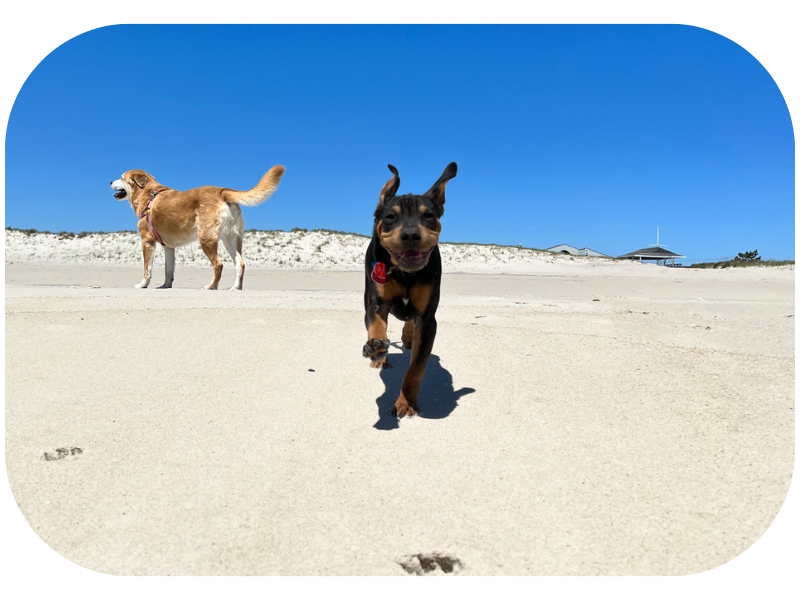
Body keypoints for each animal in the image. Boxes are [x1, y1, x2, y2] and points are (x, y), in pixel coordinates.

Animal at [109, 166, 284, 290]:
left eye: (121, 177)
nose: (110, 182)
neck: (148, 193)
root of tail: (222, 191)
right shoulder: (169, 248)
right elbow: (168, 270)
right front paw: (166, 286)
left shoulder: (147, 241)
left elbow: (147, 269)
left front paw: (143, 285)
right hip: (231, 240)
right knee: (240, 264)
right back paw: (235, 288)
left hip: (206, 238)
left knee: (218, 264)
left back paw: (211, 286)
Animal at [362, 162, 456, 420]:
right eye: (390, 216)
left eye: (429, 216)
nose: (412, 235)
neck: (405, 273)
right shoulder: (377, 303)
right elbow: (376, 323)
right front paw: (376, 347)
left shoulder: (428, 318)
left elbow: (417, 366)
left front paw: (406, 403)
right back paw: (380, 357)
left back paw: (407, 336)